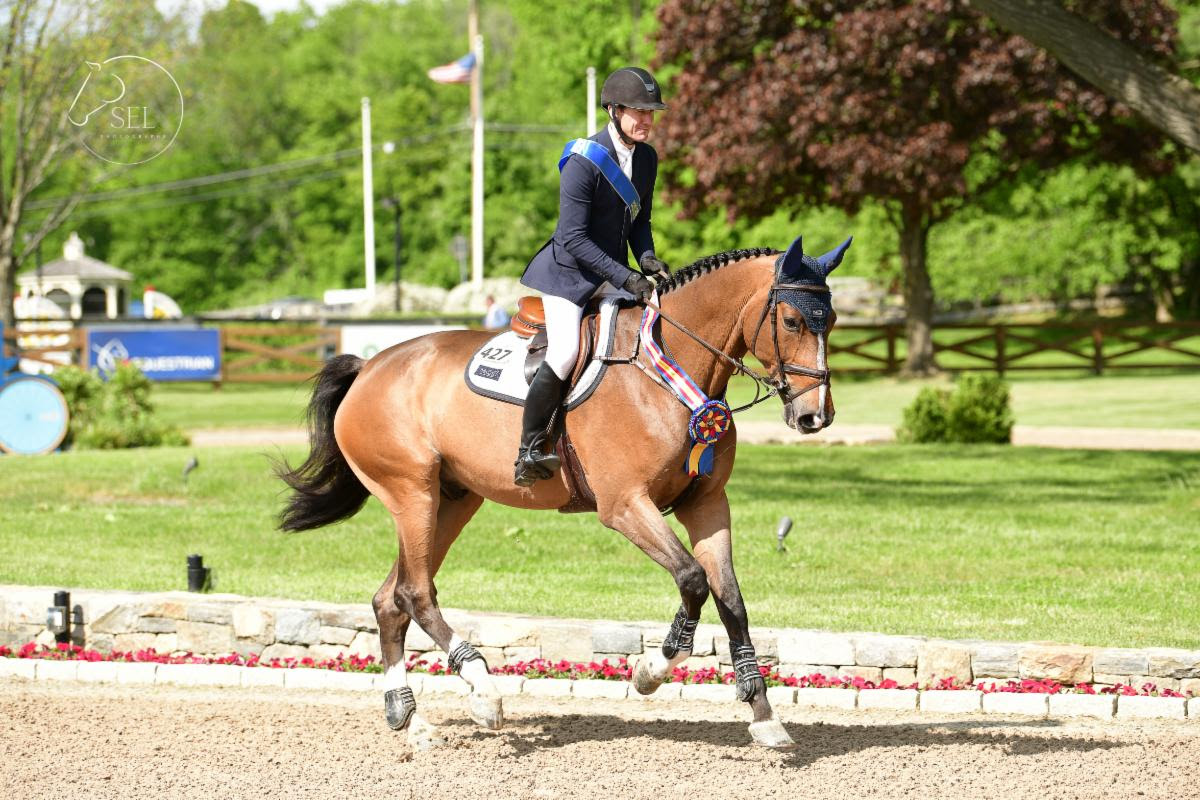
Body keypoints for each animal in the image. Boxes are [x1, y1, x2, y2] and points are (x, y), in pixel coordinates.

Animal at [276, 236, 849, 753]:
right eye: (793, 321)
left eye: (832, 322)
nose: (815, 417)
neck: (671, 368)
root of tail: (368, 368)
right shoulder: (624, 505)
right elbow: (692, 579)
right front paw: (651, 669)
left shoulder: (706, 504)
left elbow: (730, 598)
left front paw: (764, 717)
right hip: (412, 494)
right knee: (415, 592)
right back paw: (483, 691)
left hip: (453, 500)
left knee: (390, 599)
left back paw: (412, 720)